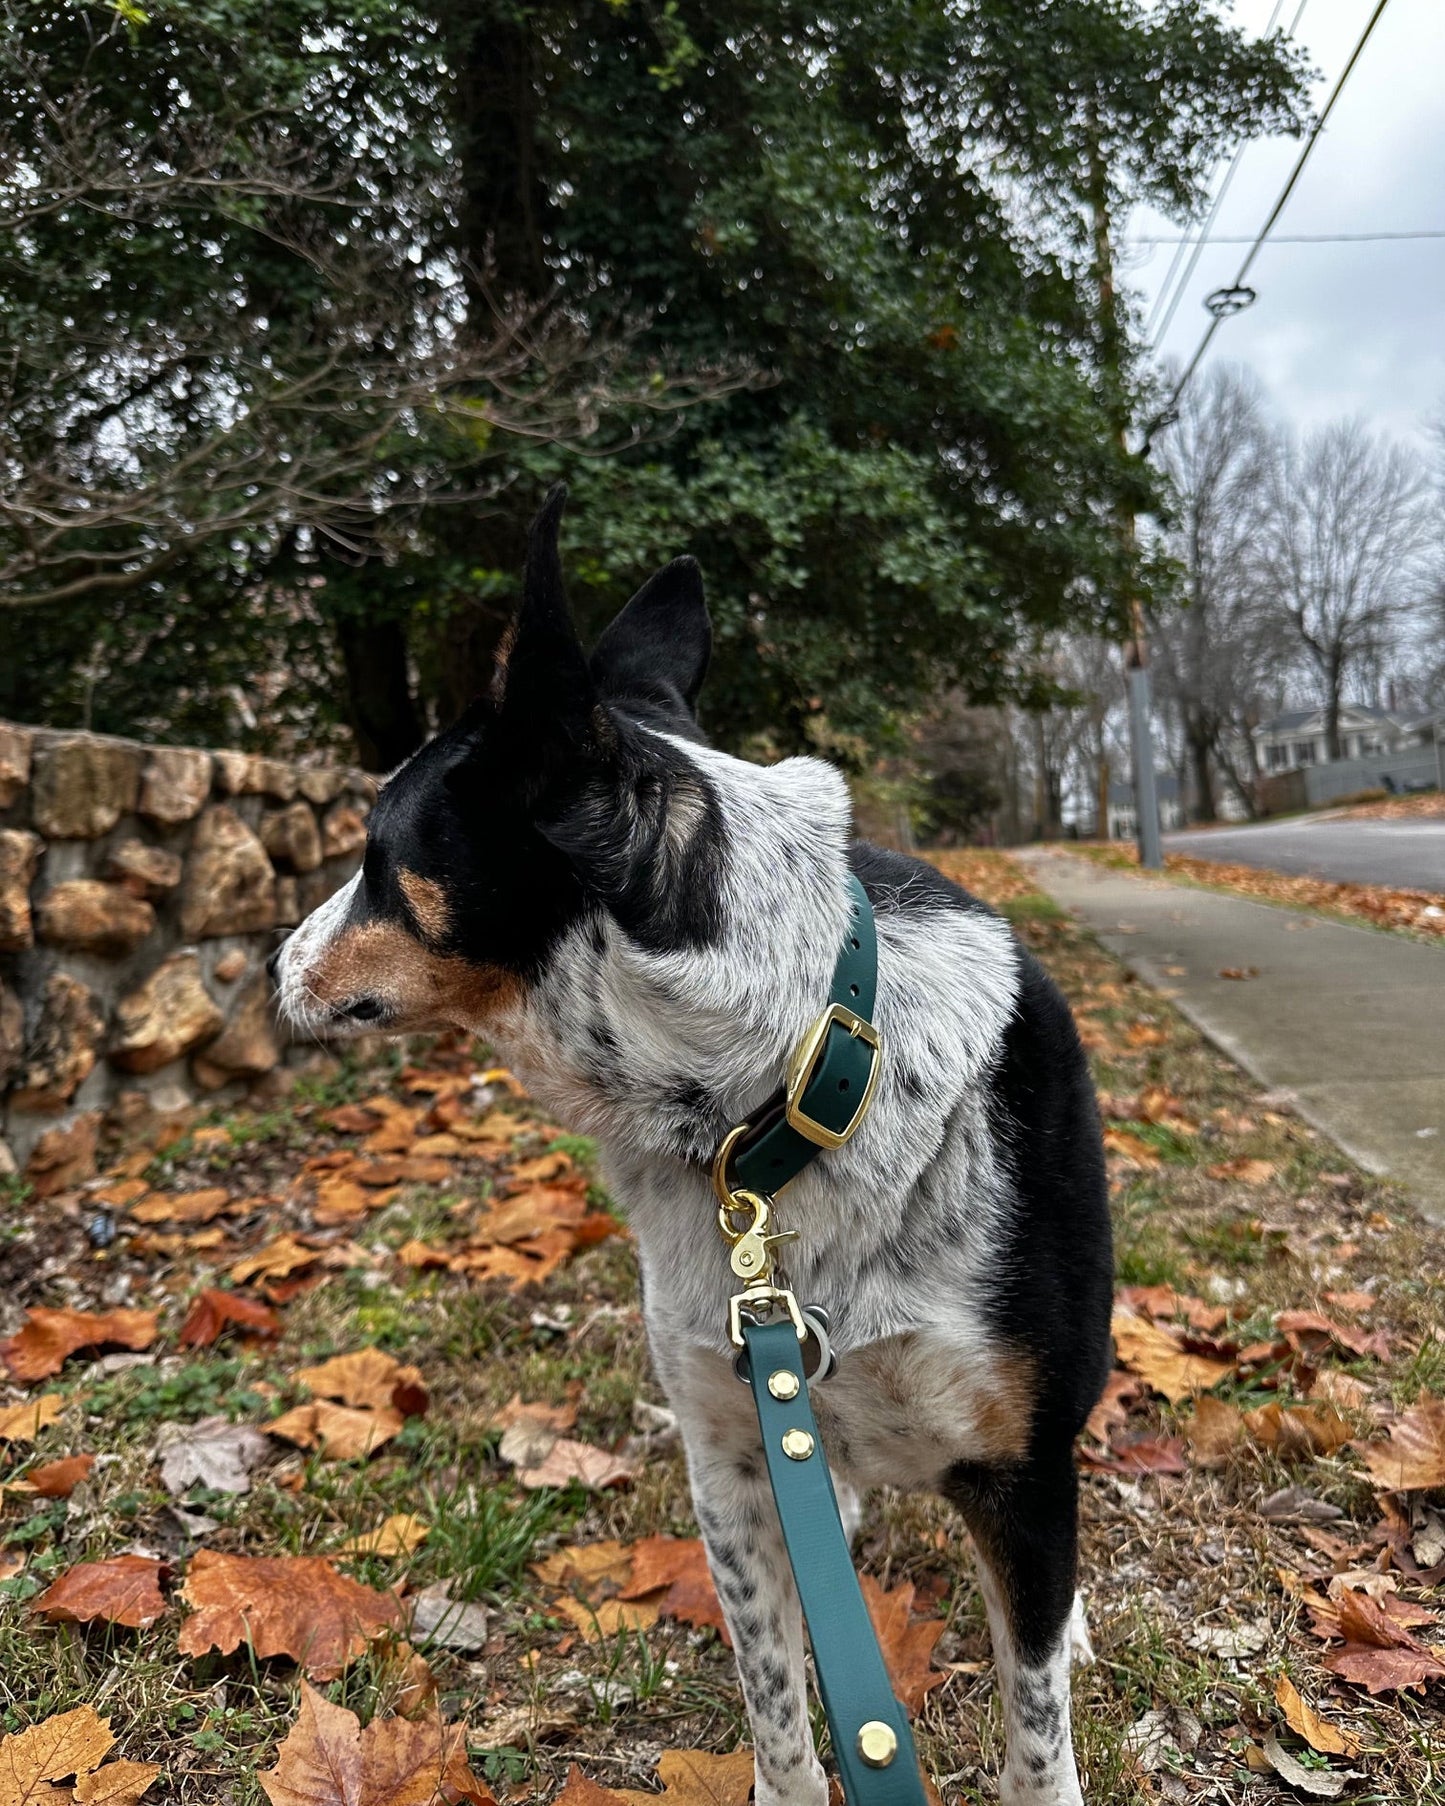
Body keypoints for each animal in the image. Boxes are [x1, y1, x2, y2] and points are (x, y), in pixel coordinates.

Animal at [270, 491, 1112, 1806]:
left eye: (370, 852)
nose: (267, 960)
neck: (782, 1097)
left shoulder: (1018, 1477)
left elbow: (1033, 1734)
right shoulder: (727, 1458)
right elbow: (775, 1696)